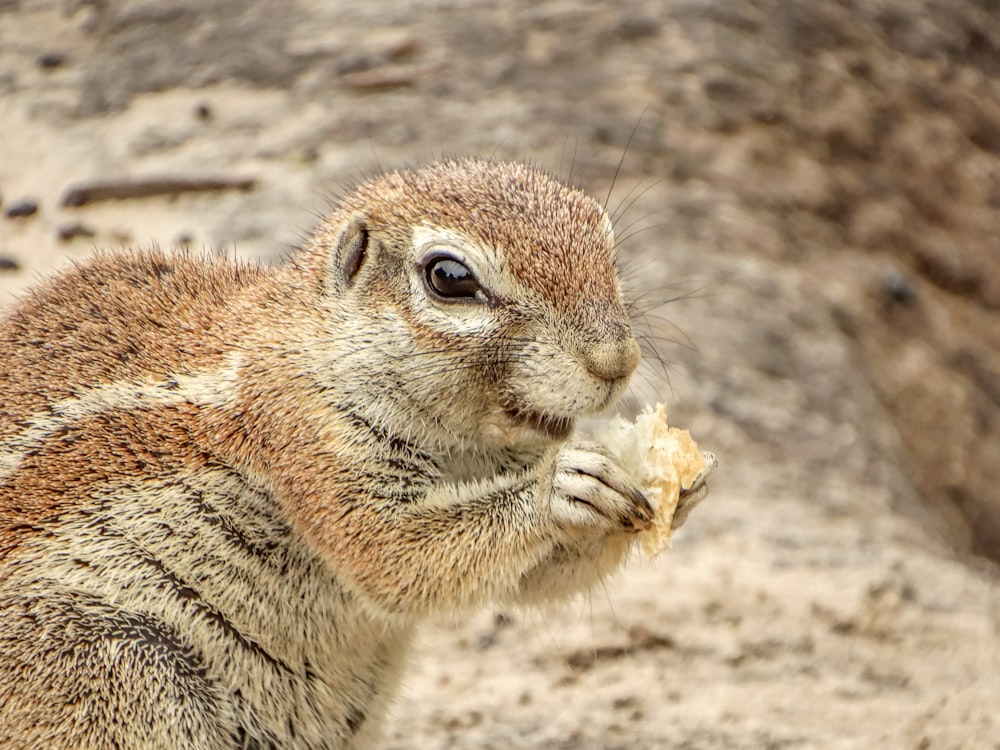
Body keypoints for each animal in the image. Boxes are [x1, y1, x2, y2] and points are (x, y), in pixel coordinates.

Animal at [1, 159, 704, 748]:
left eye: (605, 242)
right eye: (450, 277)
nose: (617, 362)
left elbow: (527, 577)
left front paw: (682, 485)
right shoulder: (306, 437)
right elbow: (389, 553)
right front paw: (563, 486)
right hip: (110, 671)